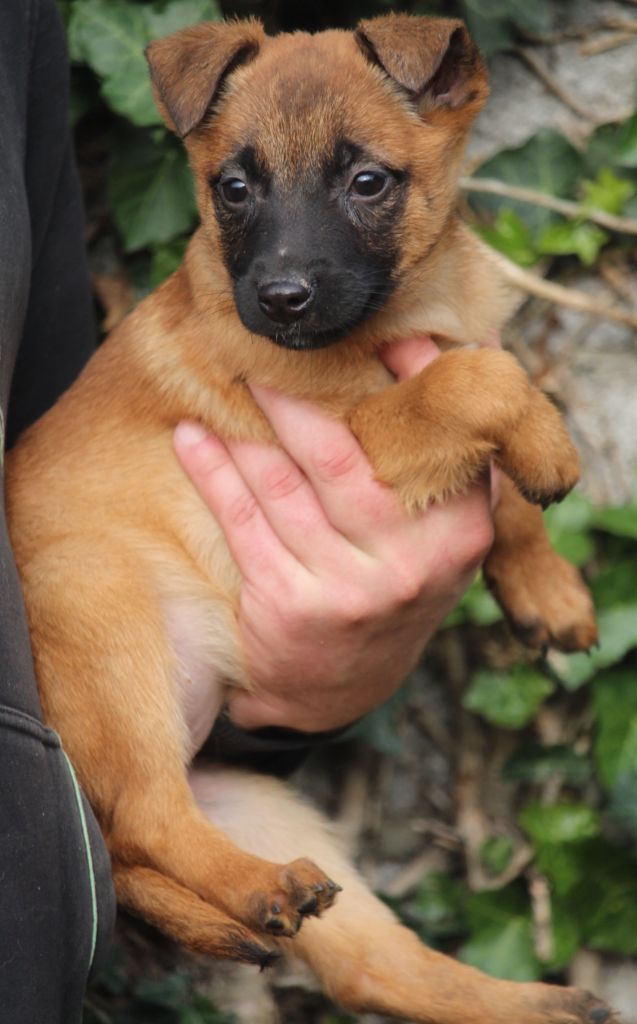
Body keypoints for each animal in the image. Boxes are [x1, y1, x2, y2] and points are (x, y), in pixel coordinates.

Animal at [6, 14, 609, 1023]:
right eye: (233, 188)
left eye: (367, 182)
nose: (280, 299)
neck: (409, 308)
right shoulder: (362, 430)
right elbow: (479, 379)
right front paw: (547, 448)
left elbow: (497, 477)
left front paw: (545, 587)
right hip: (103, 618)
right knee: (145, 824)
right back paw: (259, 889)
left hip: (259, 803)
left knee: (373, 963)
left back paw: (536, 1004)